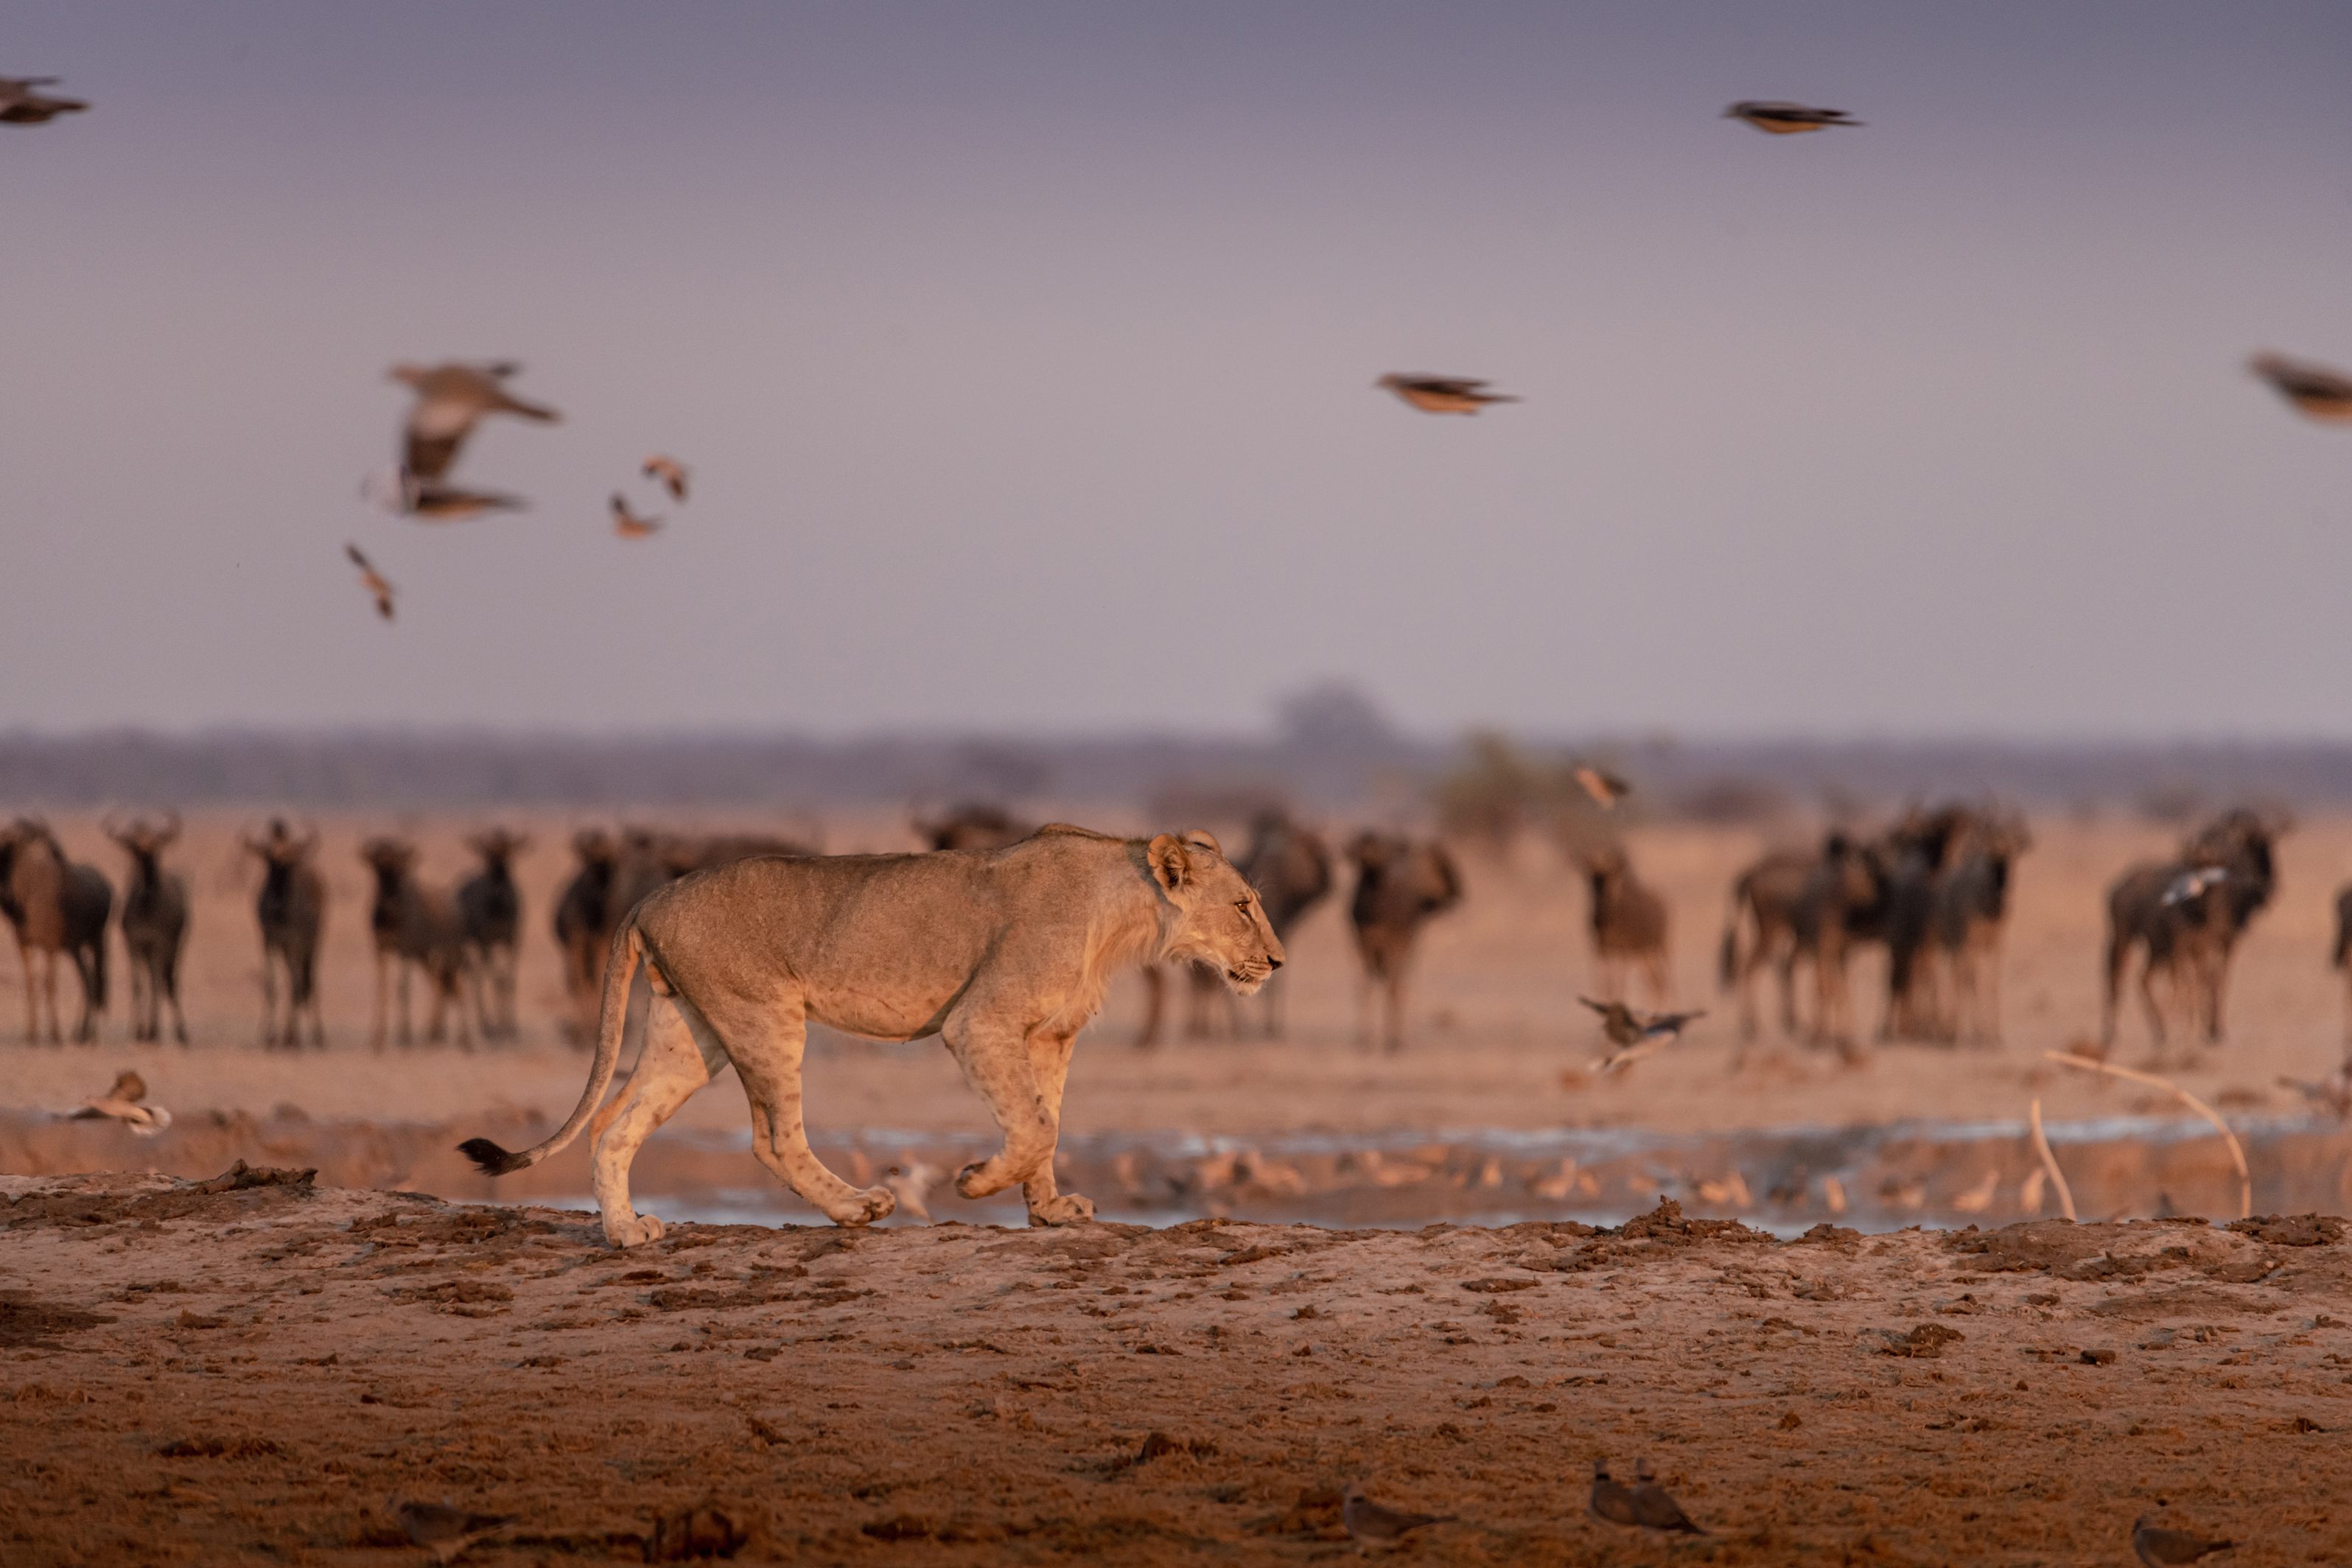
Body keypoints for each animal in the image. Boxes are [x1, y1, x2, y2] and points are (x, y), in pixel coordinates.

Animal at [0, 818, 111, 1043]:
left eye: (11, 851)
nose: (4, 894)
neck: (30, 895)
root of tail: (106, 884)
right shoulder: (24, 945)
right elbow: (31, 984)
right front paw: (32, 1034)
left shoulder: (50, 947)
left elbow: (49, 985)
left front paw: (54, 1035)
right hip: (76, 949)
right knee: (87, 981)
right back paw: (81, 1033)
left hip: (97, 942)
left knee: (97, 980)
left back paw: (92, 1034)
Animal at [104, 812, 189, 1044]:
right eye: (135, 848)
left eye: (158, 847)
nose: (150, 881)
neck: (146, 910)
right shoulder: (134, 944)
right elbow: (138, 984)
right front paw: (138, 1032)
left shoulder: (159, 944)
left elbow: (157, 984)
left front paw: (153, 1032)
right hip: (149, 952)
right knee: (155, 979)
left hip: (176, 947)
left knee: (169, 981)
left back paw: (181, 1034)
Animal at [245, 820, 325, 1048]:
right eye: (268, 860)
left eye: (290, 863)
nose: (277, 904)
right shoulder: (269, 941)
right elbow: (271, 985)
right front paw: (268, 1037)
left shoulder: (295, 942)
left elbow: (296, 986)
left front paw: (292, 1038)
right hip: (286, 950)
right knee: (297, 980)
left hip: (312, 945)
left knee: (309, 981)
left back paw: (318, 1037)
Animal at [361, 837, 471, 1050]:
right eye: (378, 869)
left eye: (400, 869)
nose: (390, 906)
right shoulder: (380, 950)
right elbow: (382, 989)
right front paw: (377, 1041)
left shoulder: (405, 951)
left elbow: (402, 989)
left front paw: (405, 1038)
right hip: (425, 956)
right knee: (439, 984)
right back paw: (433, 1036)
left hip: (449, 953)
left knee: (458, 986)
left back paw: (463, 1041)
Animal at [457, 828, 527, 1043]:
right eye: (487, 853)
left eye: (508, 851)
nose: (499, 882)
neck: (499, 912)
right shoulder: (486, 942)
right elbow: (496, 979)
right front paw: (498, 1030)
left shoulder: (513, 941)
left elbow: (508, 979)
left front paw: (511, 1027)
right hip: (471, 944)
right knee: (476, 976)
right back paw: (485, 1027)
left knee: (478, 974)